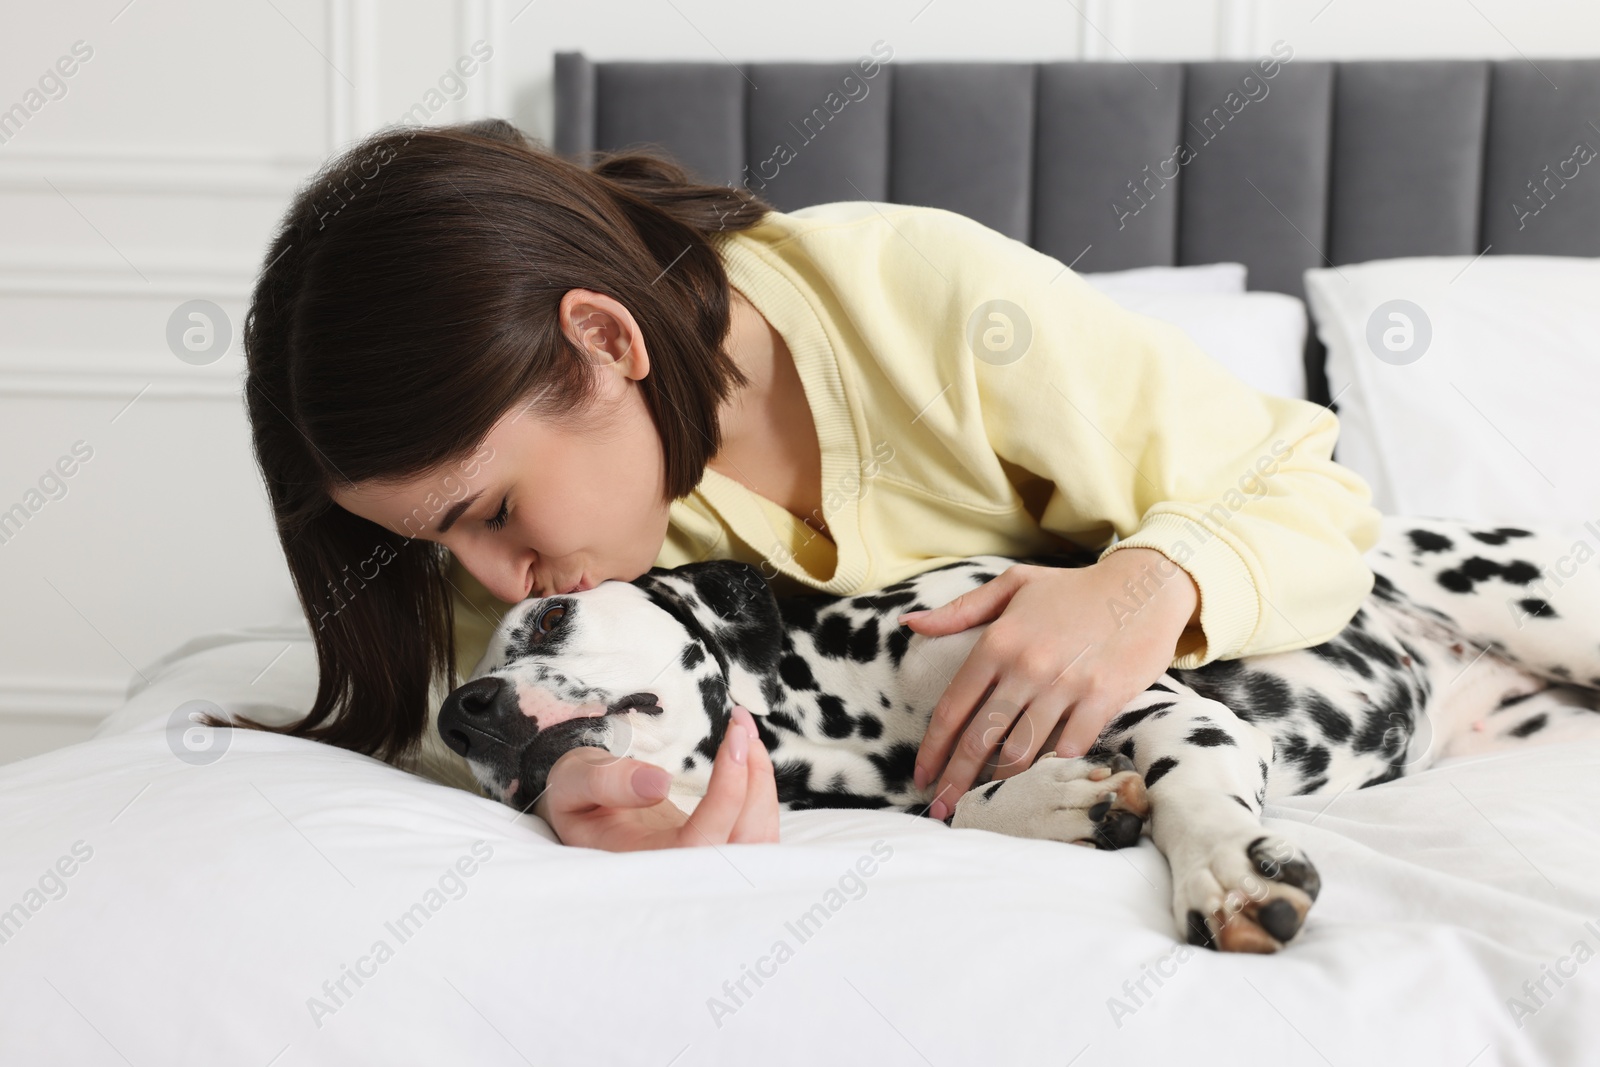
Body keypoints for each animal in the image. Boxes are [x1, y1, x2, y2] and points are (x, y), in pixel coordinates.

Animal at [435, 518, 1600, 953]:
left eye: (550, 616)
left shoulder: (1176, 709)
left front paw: (1223, 872)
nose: (461, 711)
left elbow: (1189, 789)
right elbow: (966, 805)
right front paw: (1059, 800)